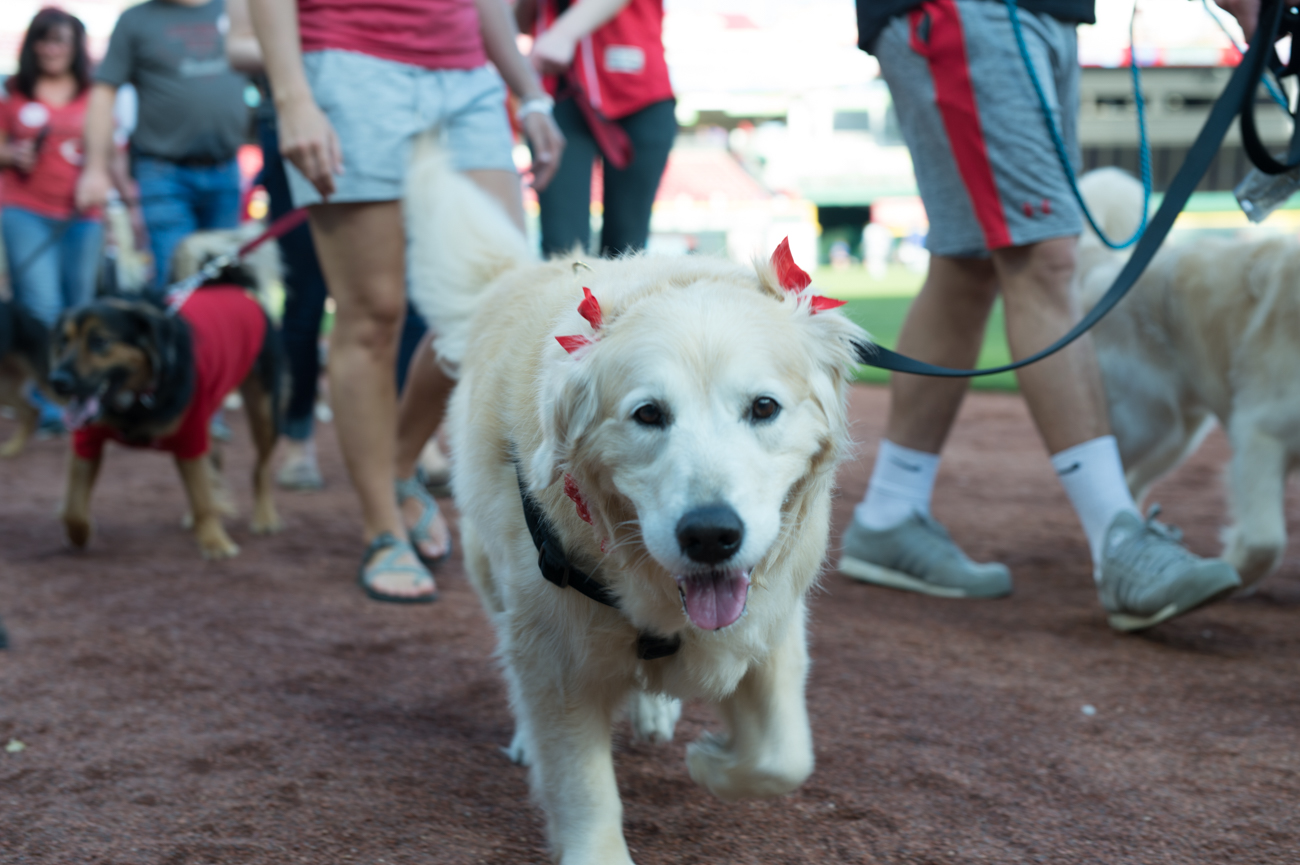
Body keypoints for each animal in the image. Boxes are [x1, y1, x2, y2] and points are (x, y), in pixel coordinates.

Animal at [52, 228, 284, 556]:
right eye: (63, 341)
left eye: (100, 341)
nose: (57, 381)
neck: (135, 397)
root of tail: (229, 284)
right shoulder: (87, 439)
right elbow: (72, 506)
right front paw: (80, 534)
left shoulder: (191, 434)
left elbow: (202, 496)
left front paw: (215, 542)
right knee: (217, 457)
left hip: (264, 411)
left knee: (259, 469)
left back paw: (264, 517)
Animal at [405, 138, 873, 858]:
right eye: (649, 414)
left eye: (764, 407)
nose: (711, 535)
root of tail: (517, 275)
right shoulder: (554, 656)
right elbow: (582, 785)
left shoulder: (771, 625)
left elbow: (784, 758)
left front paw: (712, 761)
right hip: (491, 574)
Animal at [1076, 166, 1300, 587]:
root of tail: (1109, 266)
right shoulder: (1259, 432)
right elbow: (1265, 543)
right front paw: (1230, 571)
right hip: (1147, 422)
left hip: (1180, 437)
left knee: (1132, 482)